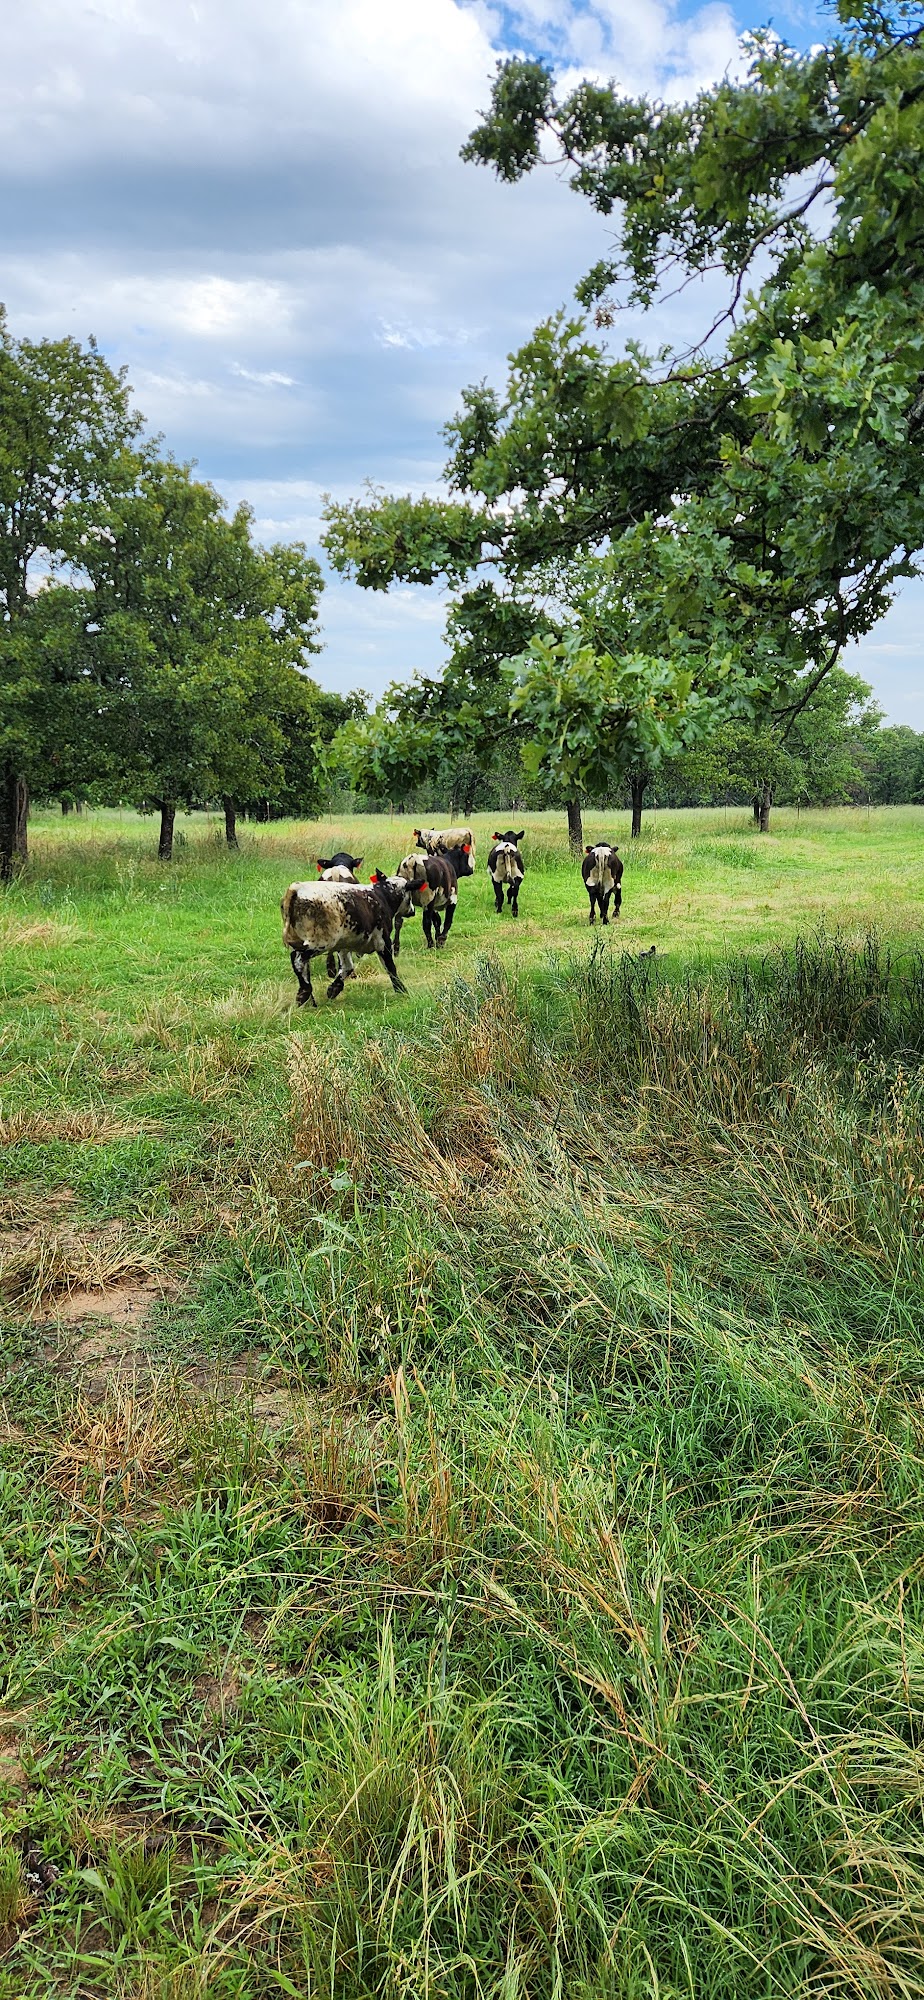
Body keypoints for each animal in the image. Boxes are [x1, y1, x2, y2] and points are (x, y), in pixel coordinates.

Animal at [282, 868, 412, 1008]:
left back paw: (308, 998)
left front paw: (334, 989)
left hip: (302, 940)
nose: (412, 911)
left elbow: (347, 967)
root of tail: (297, 889)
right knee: (299, 959)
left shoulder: (344, 945)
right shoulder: (383, 941)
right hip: (319, 942)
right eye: (409, 896)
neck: (383, 897)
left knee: (302, 965)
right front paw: (401, 990)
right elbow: (390, 967)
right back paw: (304, 993)